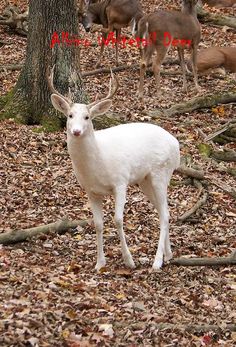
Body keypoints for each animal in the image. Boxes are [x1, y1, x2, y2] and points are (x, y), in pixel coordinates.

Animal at [48, 70, 180, 272]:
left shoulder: (121, 181)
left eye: (87, 117)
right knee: (163, 210)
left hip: (161, 171)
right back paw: (169, 254)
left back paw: (157, 262)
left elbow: (118, 219)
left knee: (165, 214)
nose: (76, 131)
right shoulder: (90, 191)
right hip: (145, 180)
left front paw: (129, 261)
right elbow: (98, 224)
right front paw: (99, 263)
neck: (97, 164)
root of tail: (177, 144)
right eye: (70, 115)